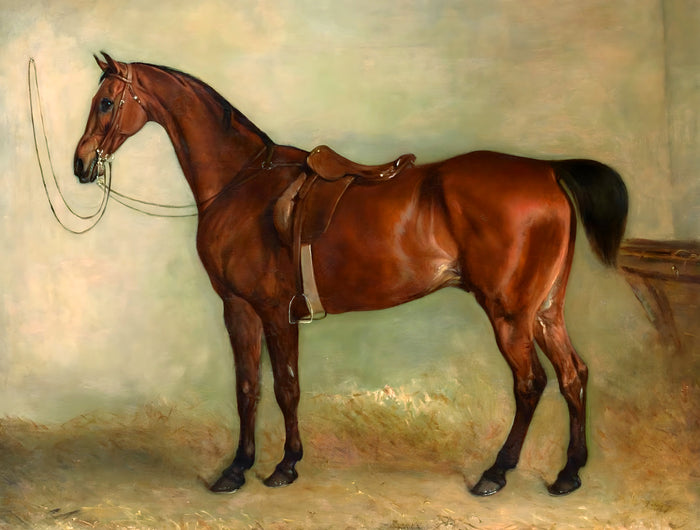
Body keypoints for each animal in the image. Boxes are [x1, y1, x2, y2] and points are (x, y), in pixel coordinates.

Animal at [73, 53, 628, 497]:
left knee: (530, 383)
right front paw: (238, 468)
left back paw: (496, 473)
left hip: (509, 313)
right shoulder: (246, 310)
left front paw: (281, 466)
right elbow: (249, 387)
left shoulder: (262, 310)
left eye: (106, 103)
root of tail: (547, 171)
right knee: (573, 375)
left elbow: (281, 387)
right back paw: (568, 474)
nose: (80, 165)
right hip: (544, 311)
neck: (240, 182)